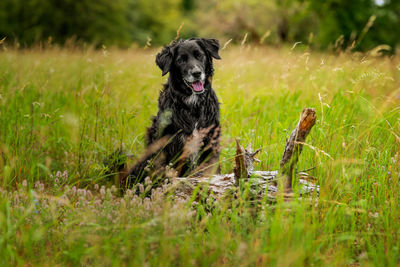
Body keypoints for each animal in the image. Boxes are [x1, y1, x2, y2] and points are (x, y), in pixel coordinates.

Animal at [122, 38, 222, 188]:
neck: (192, 104)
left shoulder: (210, 143)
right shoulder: (171, 145)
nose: (196, 73)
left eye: (200, 56)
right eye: (181, 60)